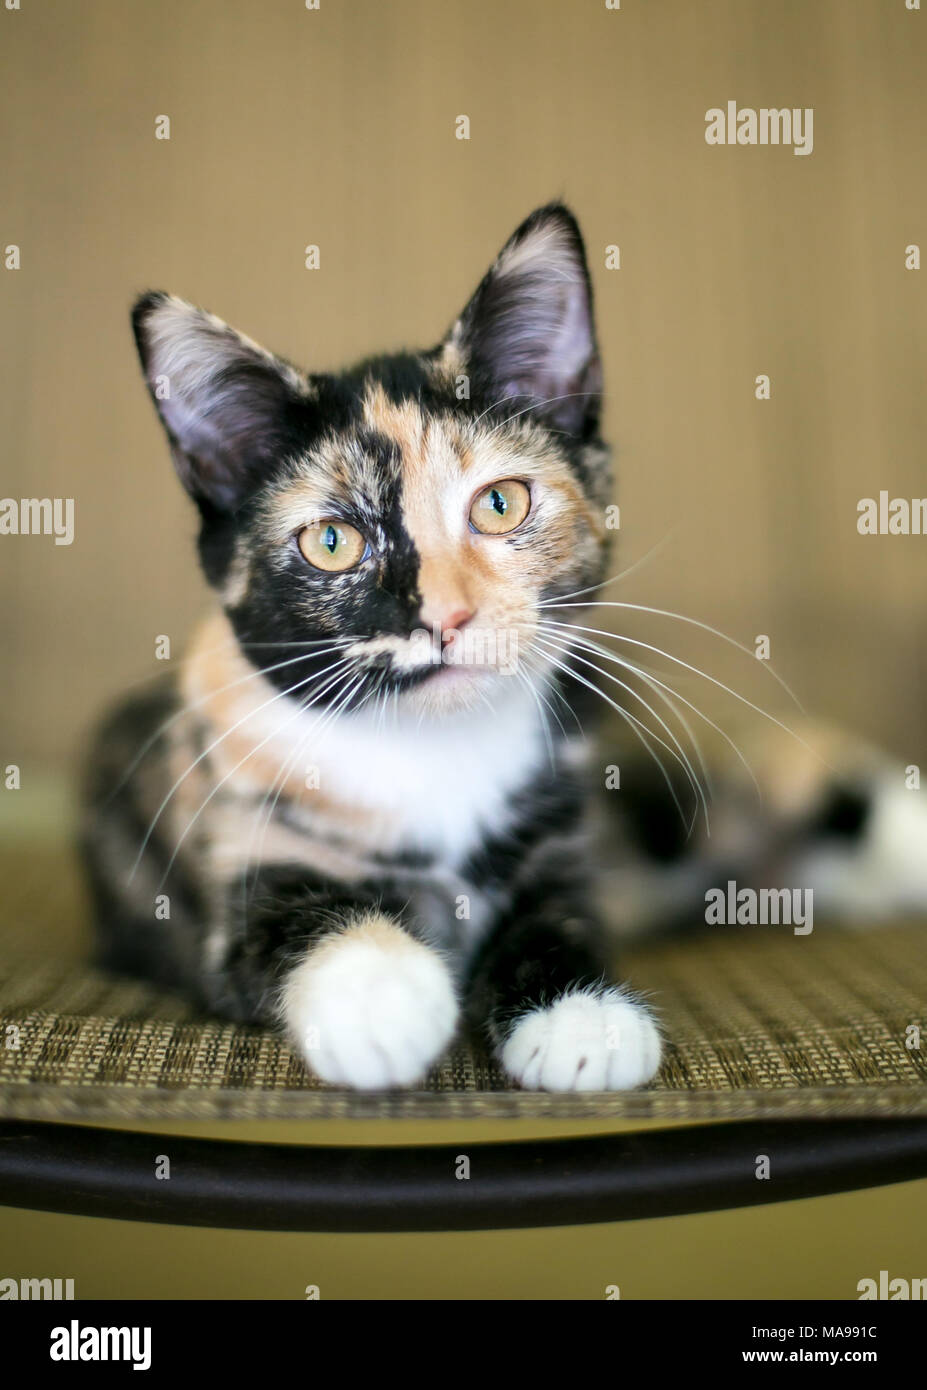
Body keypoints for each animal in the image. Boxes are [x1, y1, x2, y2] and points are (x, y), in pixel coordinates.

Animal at [81, 202, 927, 1084]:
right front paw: (380, 1000)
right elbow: (293, 918)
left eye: (498, 503)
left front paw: (582, 1017)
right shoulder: (228, 831)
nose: (444, 617)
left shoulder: (563, 830)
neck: (434, 753)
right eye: (332, 543)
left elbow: (559, 916)